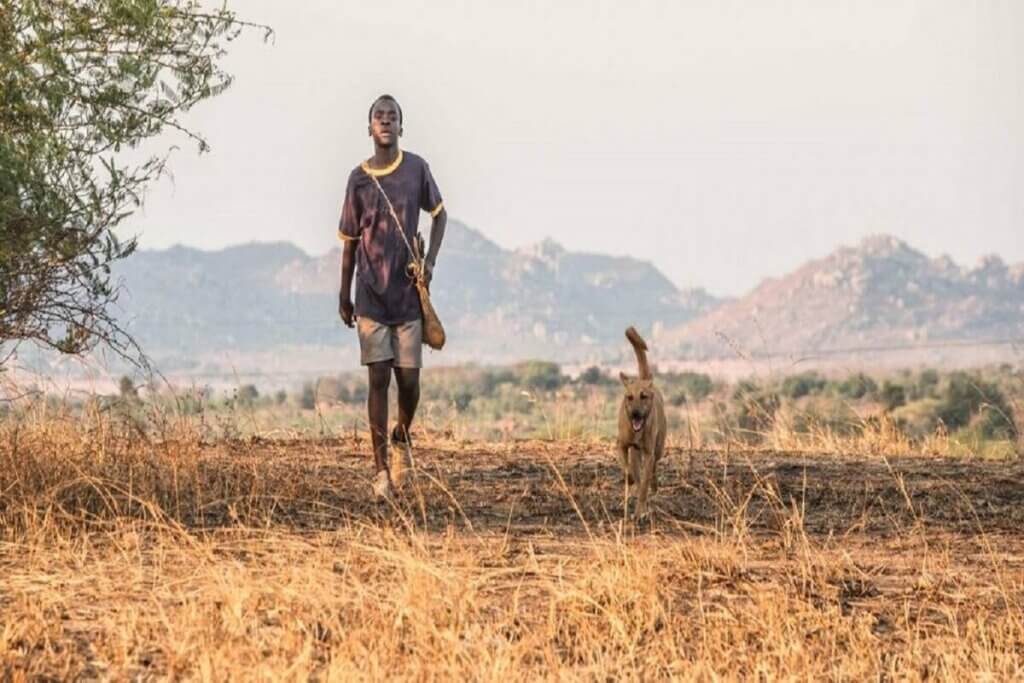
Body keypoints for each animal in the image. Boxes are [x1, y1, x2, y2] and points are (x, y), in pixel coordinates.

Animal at [618, 325, 667, 518]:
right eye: (629, 397)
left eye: (643, 396)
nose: (635, 414)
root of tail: (645, 379)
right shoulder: (622, 446)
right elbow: (629, 471)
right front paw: (631, 483)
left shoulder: (648, 452)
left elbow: (644, 483)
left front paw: (640, 511)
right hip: (635, 452)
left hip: (658, 448)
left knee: (653, 469)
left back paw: (653, 487)